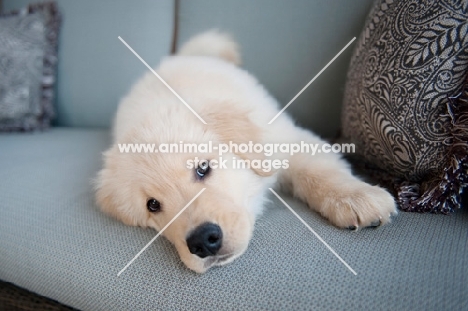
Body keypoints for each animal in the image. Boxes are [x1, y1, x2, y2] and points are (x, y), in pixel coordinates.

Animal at [95, 29, 394, 272]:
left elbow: (319, 171)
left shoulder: (286, 139)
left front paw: (357, 197)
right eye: (153, 205)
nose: (202, 241)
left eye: (203, 168)